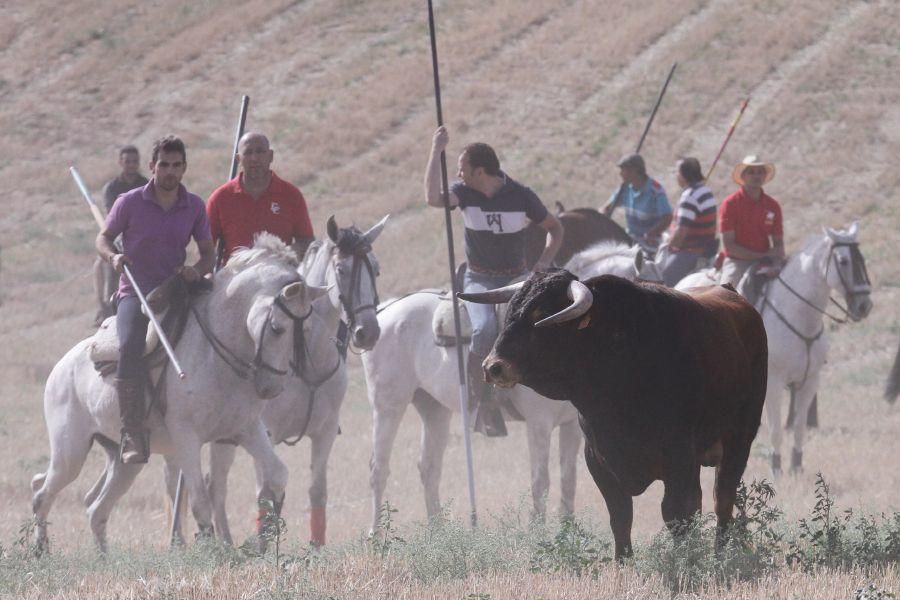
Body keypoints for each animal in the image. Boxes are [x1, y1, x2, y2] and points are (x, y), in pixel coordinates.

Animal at [32, 236, 326, 552]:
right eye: (277, 328)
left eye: (307, 329)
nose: (271, 388)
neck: (216, 354)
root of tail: (61, 367)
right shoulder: (187, 438)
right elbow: (200, 502)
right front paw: (211, 551)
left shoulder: (245, 429)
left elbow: (277, 475)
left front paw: (265, 541)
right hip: (70, 453)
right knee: (42, 491)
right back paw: (39, 551)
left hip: (124, 462)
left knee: (95, 508)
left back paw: (102, 557)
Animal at [200, 217, 386, 548]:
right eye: (341, 269)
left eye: (375, 269)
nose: (368, 332)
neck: (305, 361)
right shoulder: (265, 433)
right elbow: (265, 492)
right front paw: (262, 543)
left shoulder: (325, 433)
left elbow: (317, 490)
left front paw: (316, 546)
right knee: (215, 487)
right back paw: (225, 544)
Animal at [362, 239, 656, 528]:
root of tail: (385, 311)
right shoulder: (539, 424)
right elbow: (541, 481)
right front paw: (538, 532)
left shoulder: (572, 425)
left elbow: (568, 478)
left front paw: (568, 530)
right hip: (388, 406)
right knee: (379, 469)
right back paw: (376, 535)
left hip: (433, 408)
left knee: (429, 467)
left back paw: (438, 532)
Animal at [676, 224, 872, 474]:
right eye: (844, 261)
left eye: (862, 258)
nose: (864, 305)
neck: (800, 316)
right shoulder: (775, 384)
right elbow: (777, 430)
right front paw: (776, 467)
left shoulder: (809, 382)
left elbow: (799, 428)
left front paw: (796, 465)